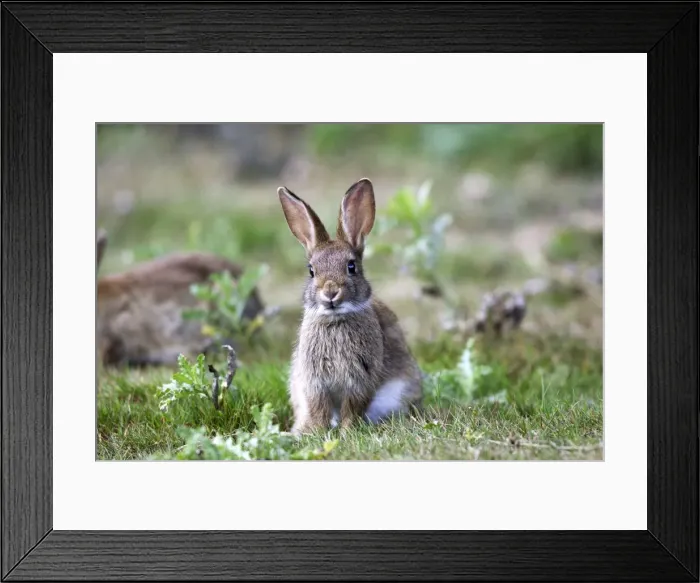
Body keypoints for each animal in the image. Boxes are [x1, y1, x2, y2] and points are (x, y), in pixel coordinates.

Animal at [277, 178, 423, 435]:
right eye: (311, 271)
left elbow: (352, 407)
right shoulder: (314, 382)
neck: (335, 319)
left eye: (351, 266)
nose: (330, 292)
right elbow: (319, 408)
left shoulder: (360, 381)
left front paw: (346, 431)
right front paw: (315, 431)